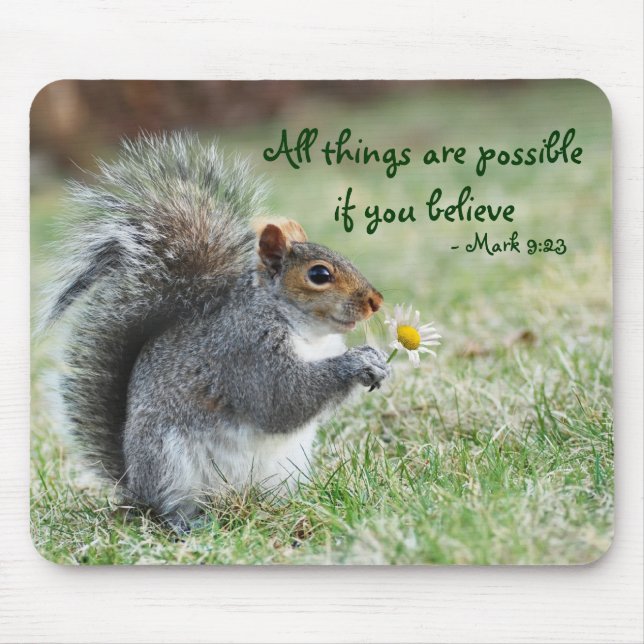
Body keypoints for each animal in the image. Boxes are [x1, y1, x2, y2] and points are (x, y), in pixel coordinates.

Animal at [43, 131, 390, 531]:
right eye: (319, 274)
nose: (376, 302)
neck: (307, 333)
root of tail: (133, 484)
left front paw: (379, 361)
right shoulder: (245, 351)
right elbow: (282, 399)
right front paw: (356, 363)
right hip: (170, 463)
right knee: (168, 508)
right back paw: (188, 523)